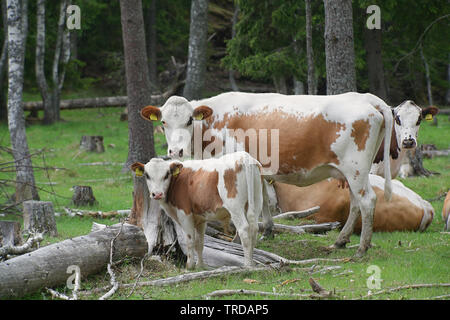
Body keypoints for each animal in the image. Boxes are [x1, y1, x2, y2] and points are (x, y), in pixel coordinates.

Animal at [130, 151, 264, 268]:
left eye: (166, 175)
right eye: (147, 175)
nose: (157, 194)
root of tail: (244, 156)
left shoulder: (185, 214)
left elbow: (190, 241)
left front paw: (190, 266)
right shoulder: (201, 218)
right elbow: (200, 242)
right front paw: (200, 265)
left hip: (235, 206)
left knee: (244, 230)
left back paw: (247, 265)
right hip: (257, 201)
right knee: (254, 228)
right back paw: (252, 262)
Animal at [142, 92, 394, 258]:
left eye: (189, 120)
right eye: (163, 122)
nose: (176, 151)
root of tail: (367, 98)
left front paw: (238, 239)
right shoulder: (257, 169)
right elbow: (261, 199)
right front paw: (268, 231)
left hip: (355, 168)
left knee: (367, 201)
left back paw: (361, 248)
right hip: (355, 171)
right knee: (355, 203)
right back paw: (341, 241)